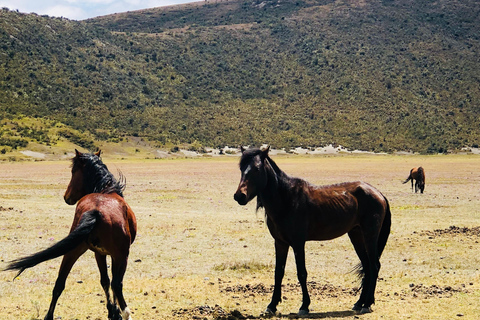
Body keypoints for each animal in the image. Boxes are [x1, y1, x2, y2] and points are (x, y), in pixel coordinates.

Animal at [4, 150, 137, 320]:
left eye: (74, 171)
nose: (66, 197)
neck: (106, 190)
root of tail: (96, 211)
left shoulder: (99, 253)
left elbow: (104, 281)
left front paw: (112, 311)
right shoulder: (110, 254)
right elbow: (110, 282)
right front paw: (115, 312)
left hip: (73, 250)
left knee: (60, 282)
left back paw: (49, 316)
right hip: (120, 255)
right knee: (117, 284)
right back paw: (126, 313)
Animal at [234, 147, 392, 316]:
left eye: (257, 169)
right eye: (241, 168)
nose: (239, 196)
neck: (286, 199)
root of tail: (378, 193)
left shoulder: (298, 243)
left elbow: (302, 273)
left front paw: (304, 306)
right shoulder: (280, 243)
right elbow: (278, 273)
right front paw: (272, 306)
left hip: (370, 235)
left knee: (374, 266)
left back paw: (367, 304)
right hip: (356, 236)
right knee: (367, 267)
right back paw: (359, 303)